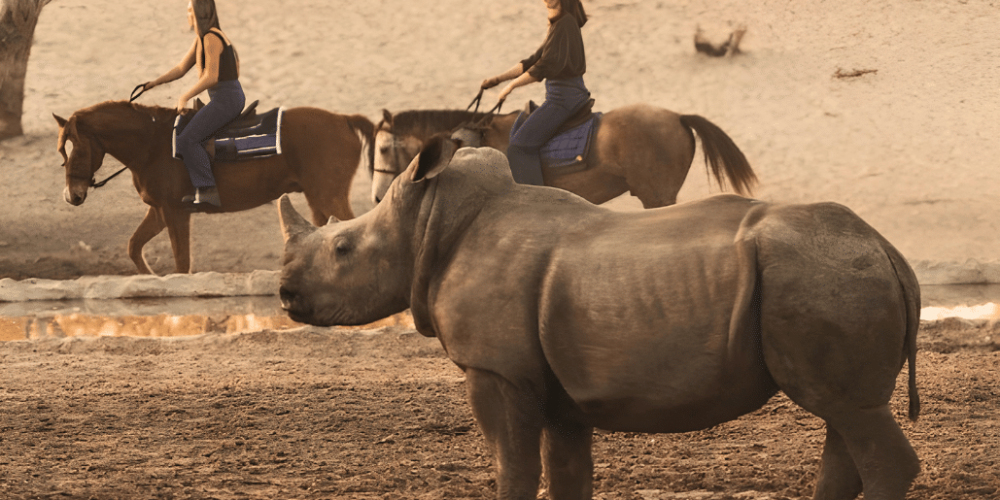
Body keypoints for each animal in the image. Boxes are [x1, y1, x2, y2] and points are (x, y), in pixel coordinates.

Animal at [277, 137, 921, 500]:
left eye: (342, 249)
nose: (284, 295)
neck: (431, 220)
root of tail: (889, 249)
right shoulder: (558, 385)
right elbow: (566, 474)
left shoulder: (497, 370)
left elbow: (513, 469)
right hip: (830, 275)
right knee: (846, 411)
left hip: (821, 277)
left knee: (849, 415)